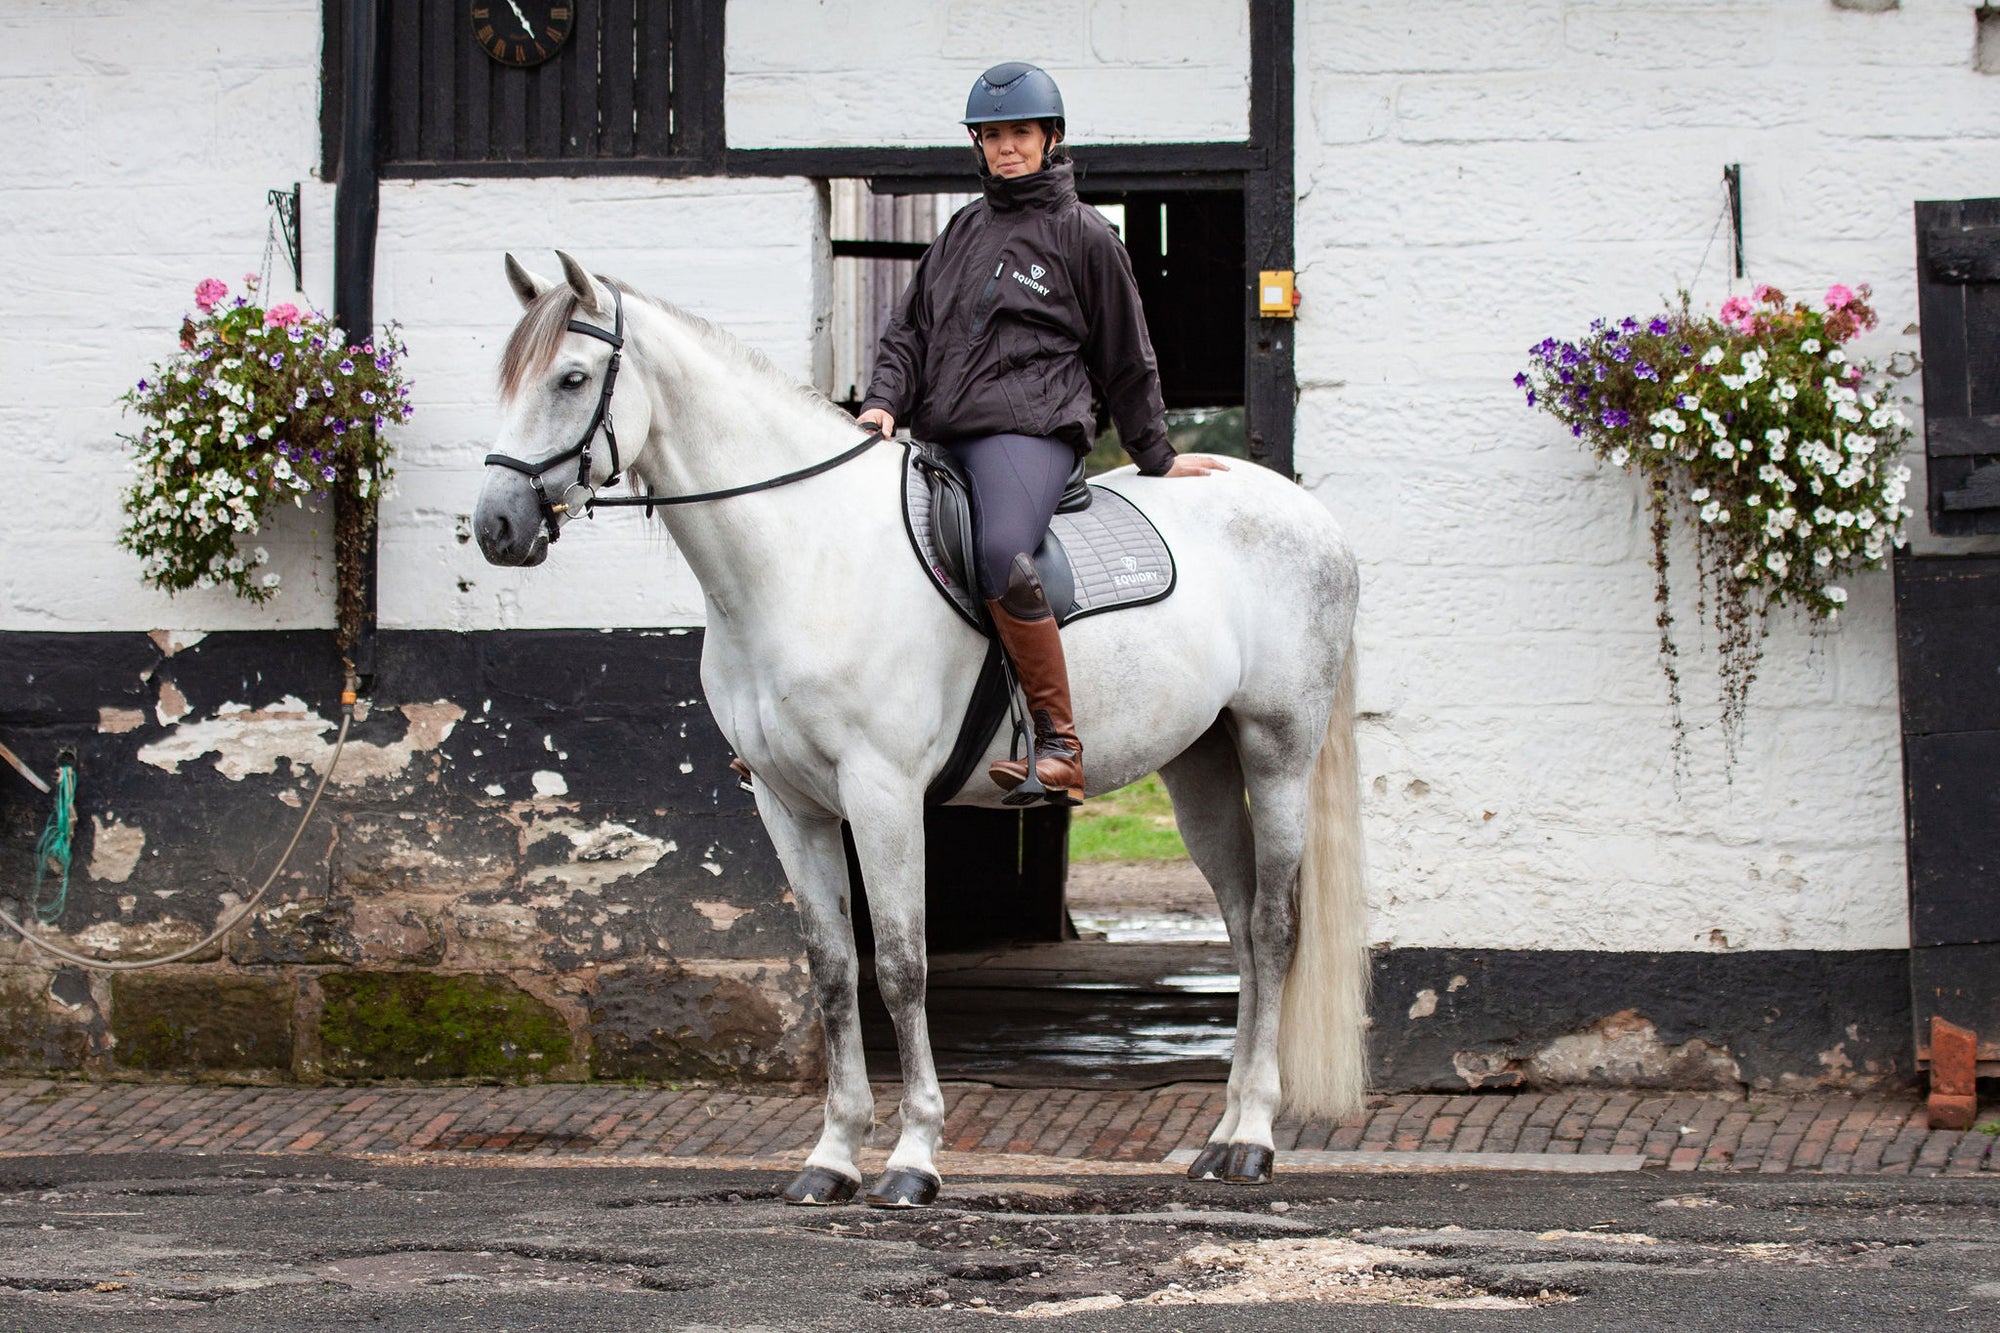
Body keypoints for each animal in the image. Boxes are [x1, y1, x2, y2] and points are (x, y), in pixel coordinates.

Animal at [476, 254, 1368, 1200]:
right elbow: (834, 972)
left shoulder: (884, 794)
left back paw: (1256, 1138)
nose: (496, 525)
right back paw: (1223, 1131)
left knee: (1273, 927)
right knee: (1239, 930)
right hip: (1199, 764)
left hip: (1277, 750)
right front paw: (831, 1156)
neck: (804, 553)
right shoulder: (788, 805)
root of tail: (1308, 514)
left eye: (572, 379)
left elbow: (902, 967)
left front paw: (913, 1156)